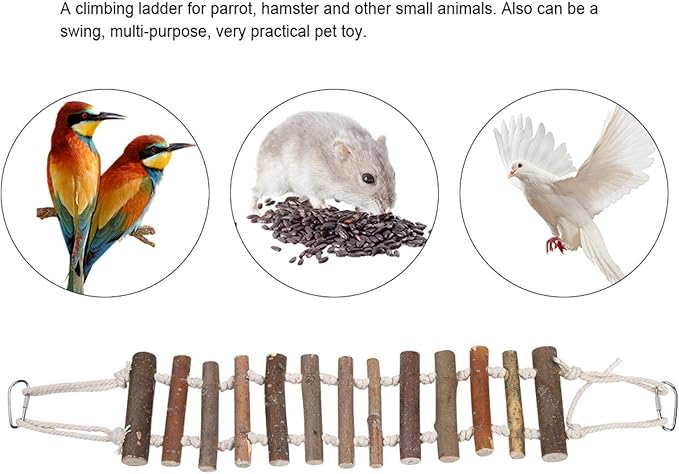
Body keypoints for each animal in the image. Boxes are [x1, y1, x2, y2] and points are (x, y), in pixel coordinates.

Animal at [252, 111, 396, 214]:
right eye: (367, 178)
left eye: (394, 174)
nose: (387, 210)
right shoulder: (308, 180)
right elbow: (314, 196)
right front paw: (324, 207)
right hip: (275, 181)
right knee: (256, 191)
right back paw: (256, 212)